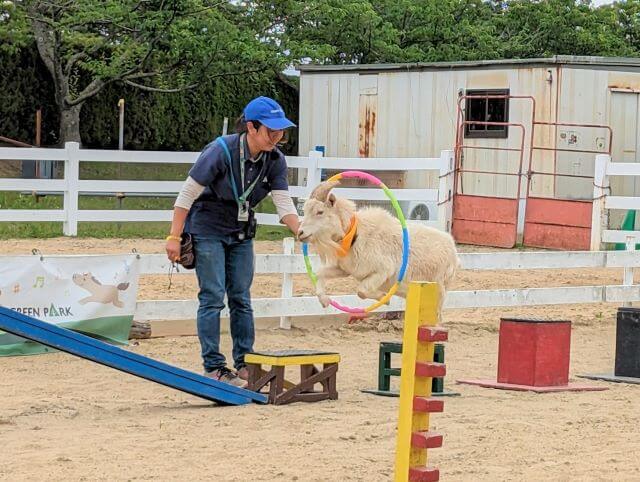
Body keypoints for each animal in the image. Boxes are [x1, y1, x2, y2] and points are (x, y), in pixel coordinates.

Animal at [298, 181, 458, 312]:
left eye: (320, 211)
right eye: (305, 211)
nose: (300, 233)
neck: (356, 233)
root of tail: (453, 250)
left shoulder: (383, 271)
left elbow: (361, 291)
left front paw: (383, 298)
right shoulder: (345, 270)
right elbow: (320, 273)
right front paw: (324, 300)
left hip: (440, 290)